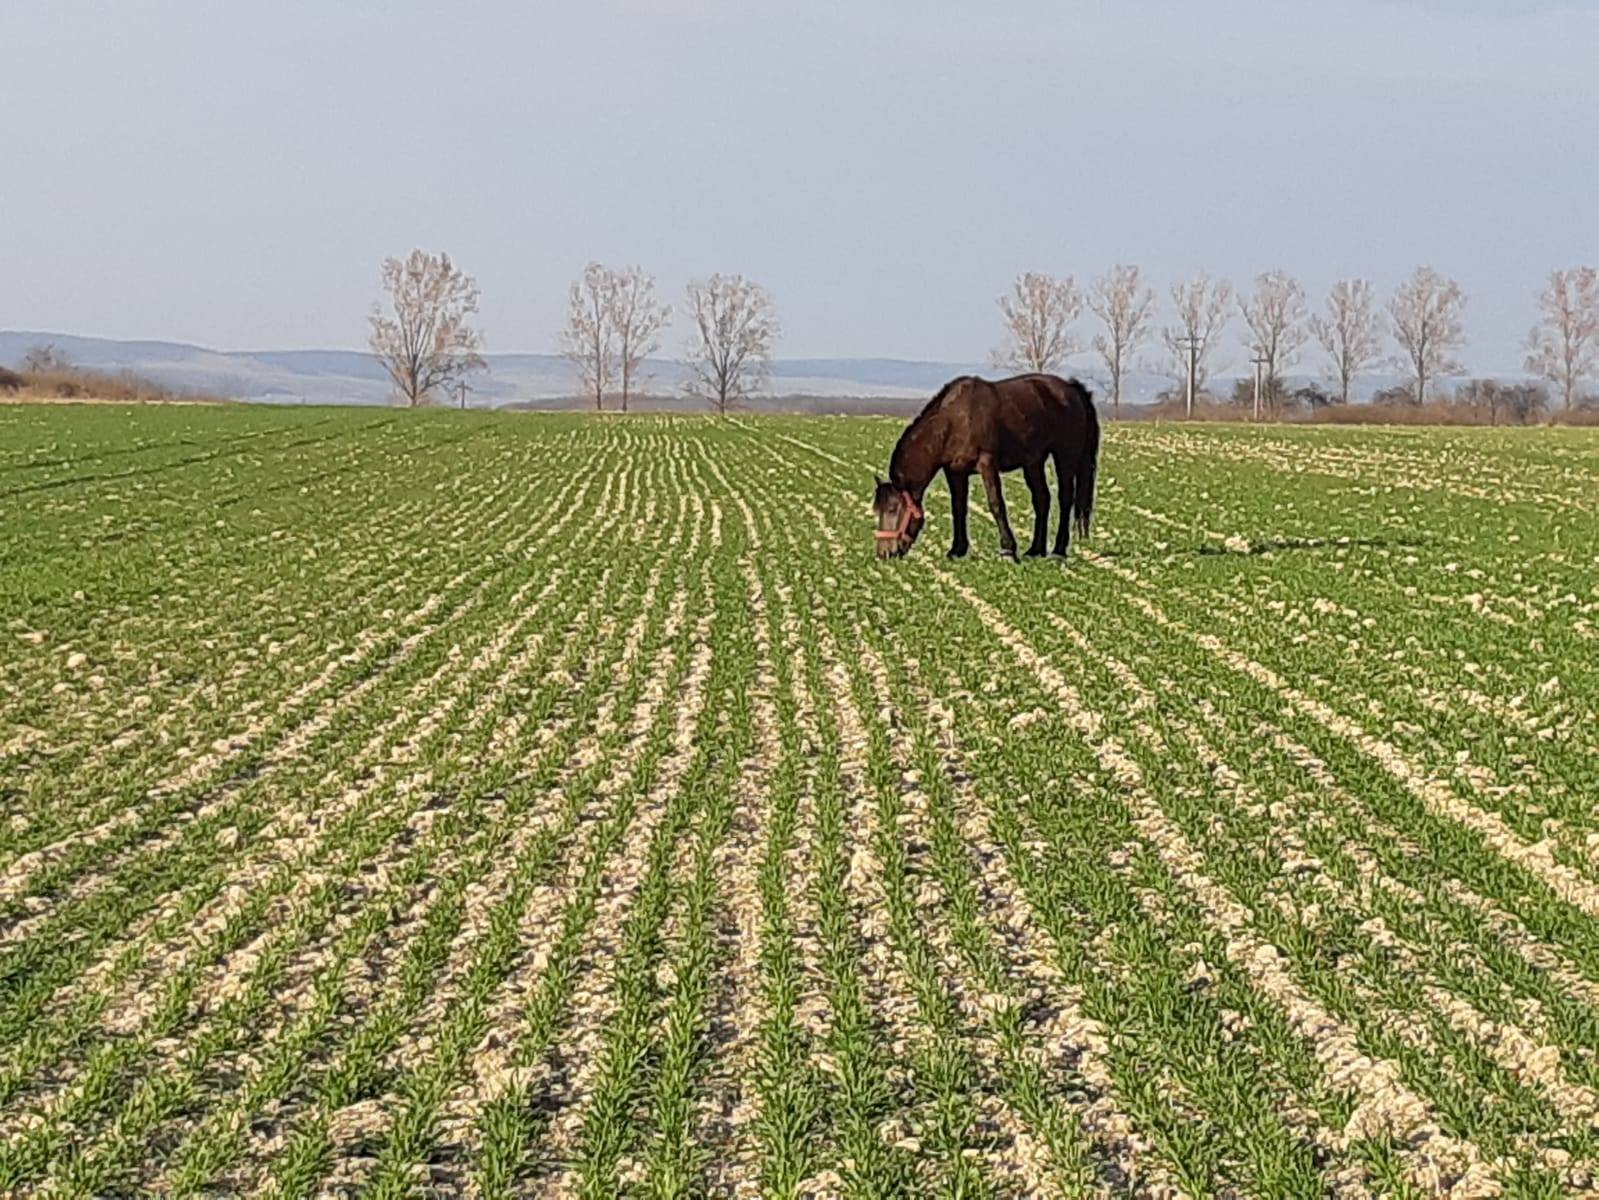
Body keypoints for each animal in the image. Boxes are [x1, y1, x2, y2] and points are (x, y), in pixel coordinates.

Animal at [876, 374, 1100, 563]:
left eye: (892, 509)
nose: (884, 553)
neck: (954, 420)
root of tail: (1071, 389)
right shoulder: (955, 472)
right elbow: (958, 507)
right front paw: (957, 550)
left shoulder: (987, 464)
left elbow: (996, 505)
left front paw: (1008, 550)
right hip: (1033, 462)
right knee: (1042, 499)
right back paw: (1035, 550)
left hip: (1065, 456)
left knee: (1065, 499)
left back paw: (1058, 551)